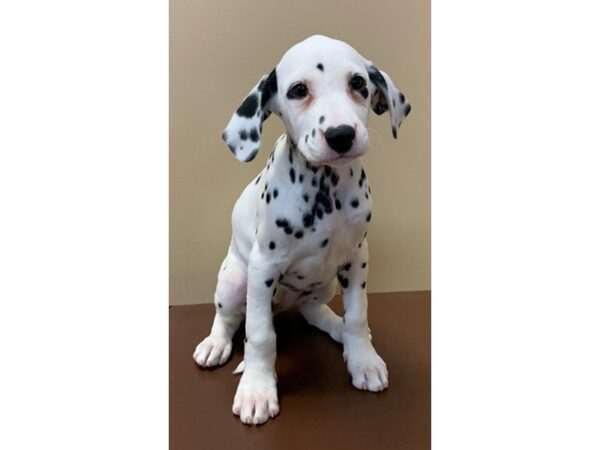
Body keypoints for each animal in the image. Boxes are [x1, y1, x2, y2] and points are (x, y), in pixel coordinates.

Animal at [195, 35, 410, 426]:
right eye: (298, 90)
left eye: (358, 83)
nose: (341, 135)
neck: (326, 187)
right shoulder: (263, 266)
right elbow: (260, 336)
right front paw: (257, 389)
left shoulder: (357, 257)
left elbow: (358, 315)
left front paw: (363, 360)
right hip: (234, 280)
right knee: (228, 317)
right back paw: (215, 343)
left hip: (323, 284)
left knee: (314, 312)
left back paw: (336, 328)